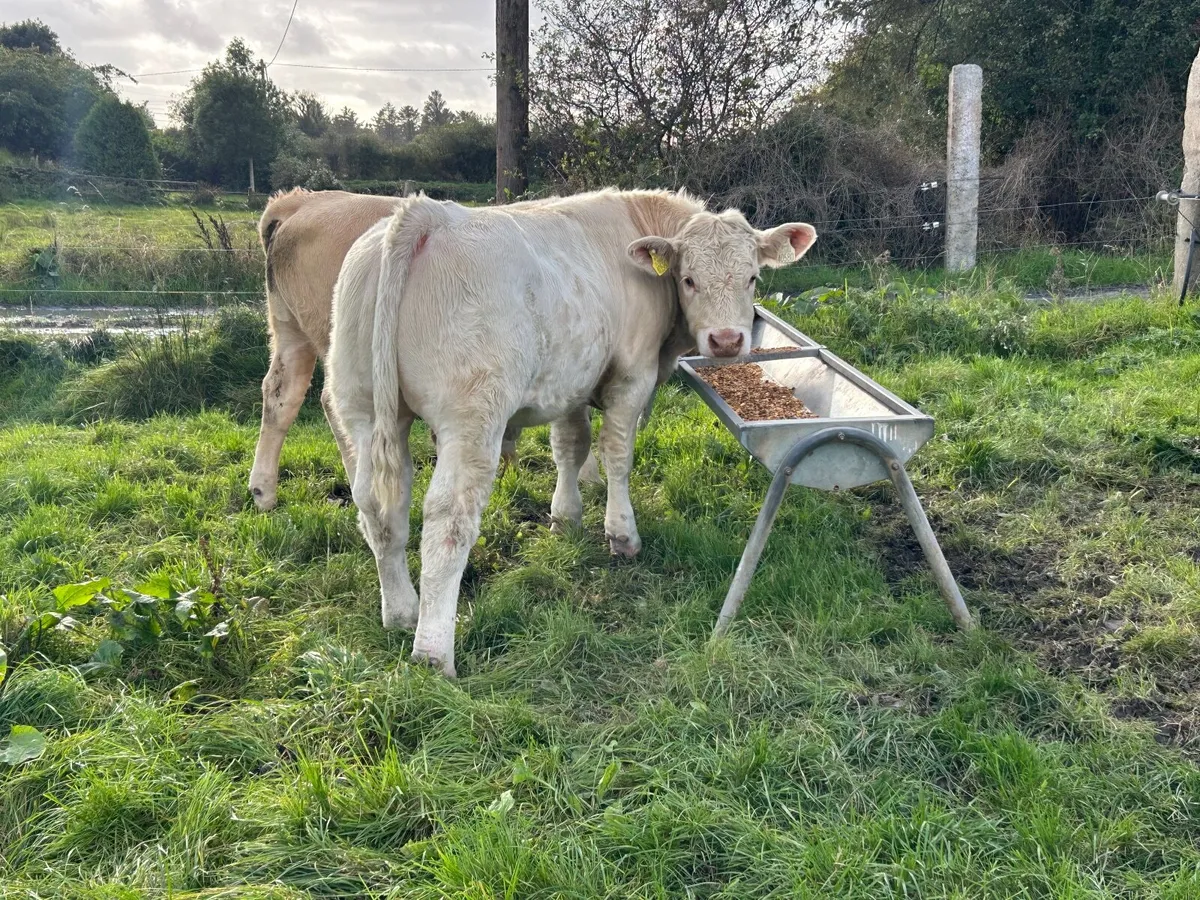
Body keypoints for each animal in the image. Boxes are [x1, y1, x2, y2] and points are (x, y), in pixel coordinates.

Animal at [247, 188, 600, 512]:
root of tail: (302, 201)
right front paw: (588, 475)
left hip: (290, 328)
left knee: (281, 394)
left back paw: (263, 491)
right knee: (333, 403)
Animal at [326, 187, 817, 677]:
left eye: (751, 278)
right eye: (688, 279)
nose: (727, 341)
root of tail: (424, 213)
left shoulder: (571, 380)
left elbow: (570, 446)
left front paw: (564, 518)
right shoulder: (631, 375)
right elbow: (616, 453)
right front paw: (621, 534)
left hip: (362, 409)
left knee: (379, 509)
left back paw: (401, 612)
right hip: (471, 417)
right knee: (448, 519)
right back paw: (432, 653)